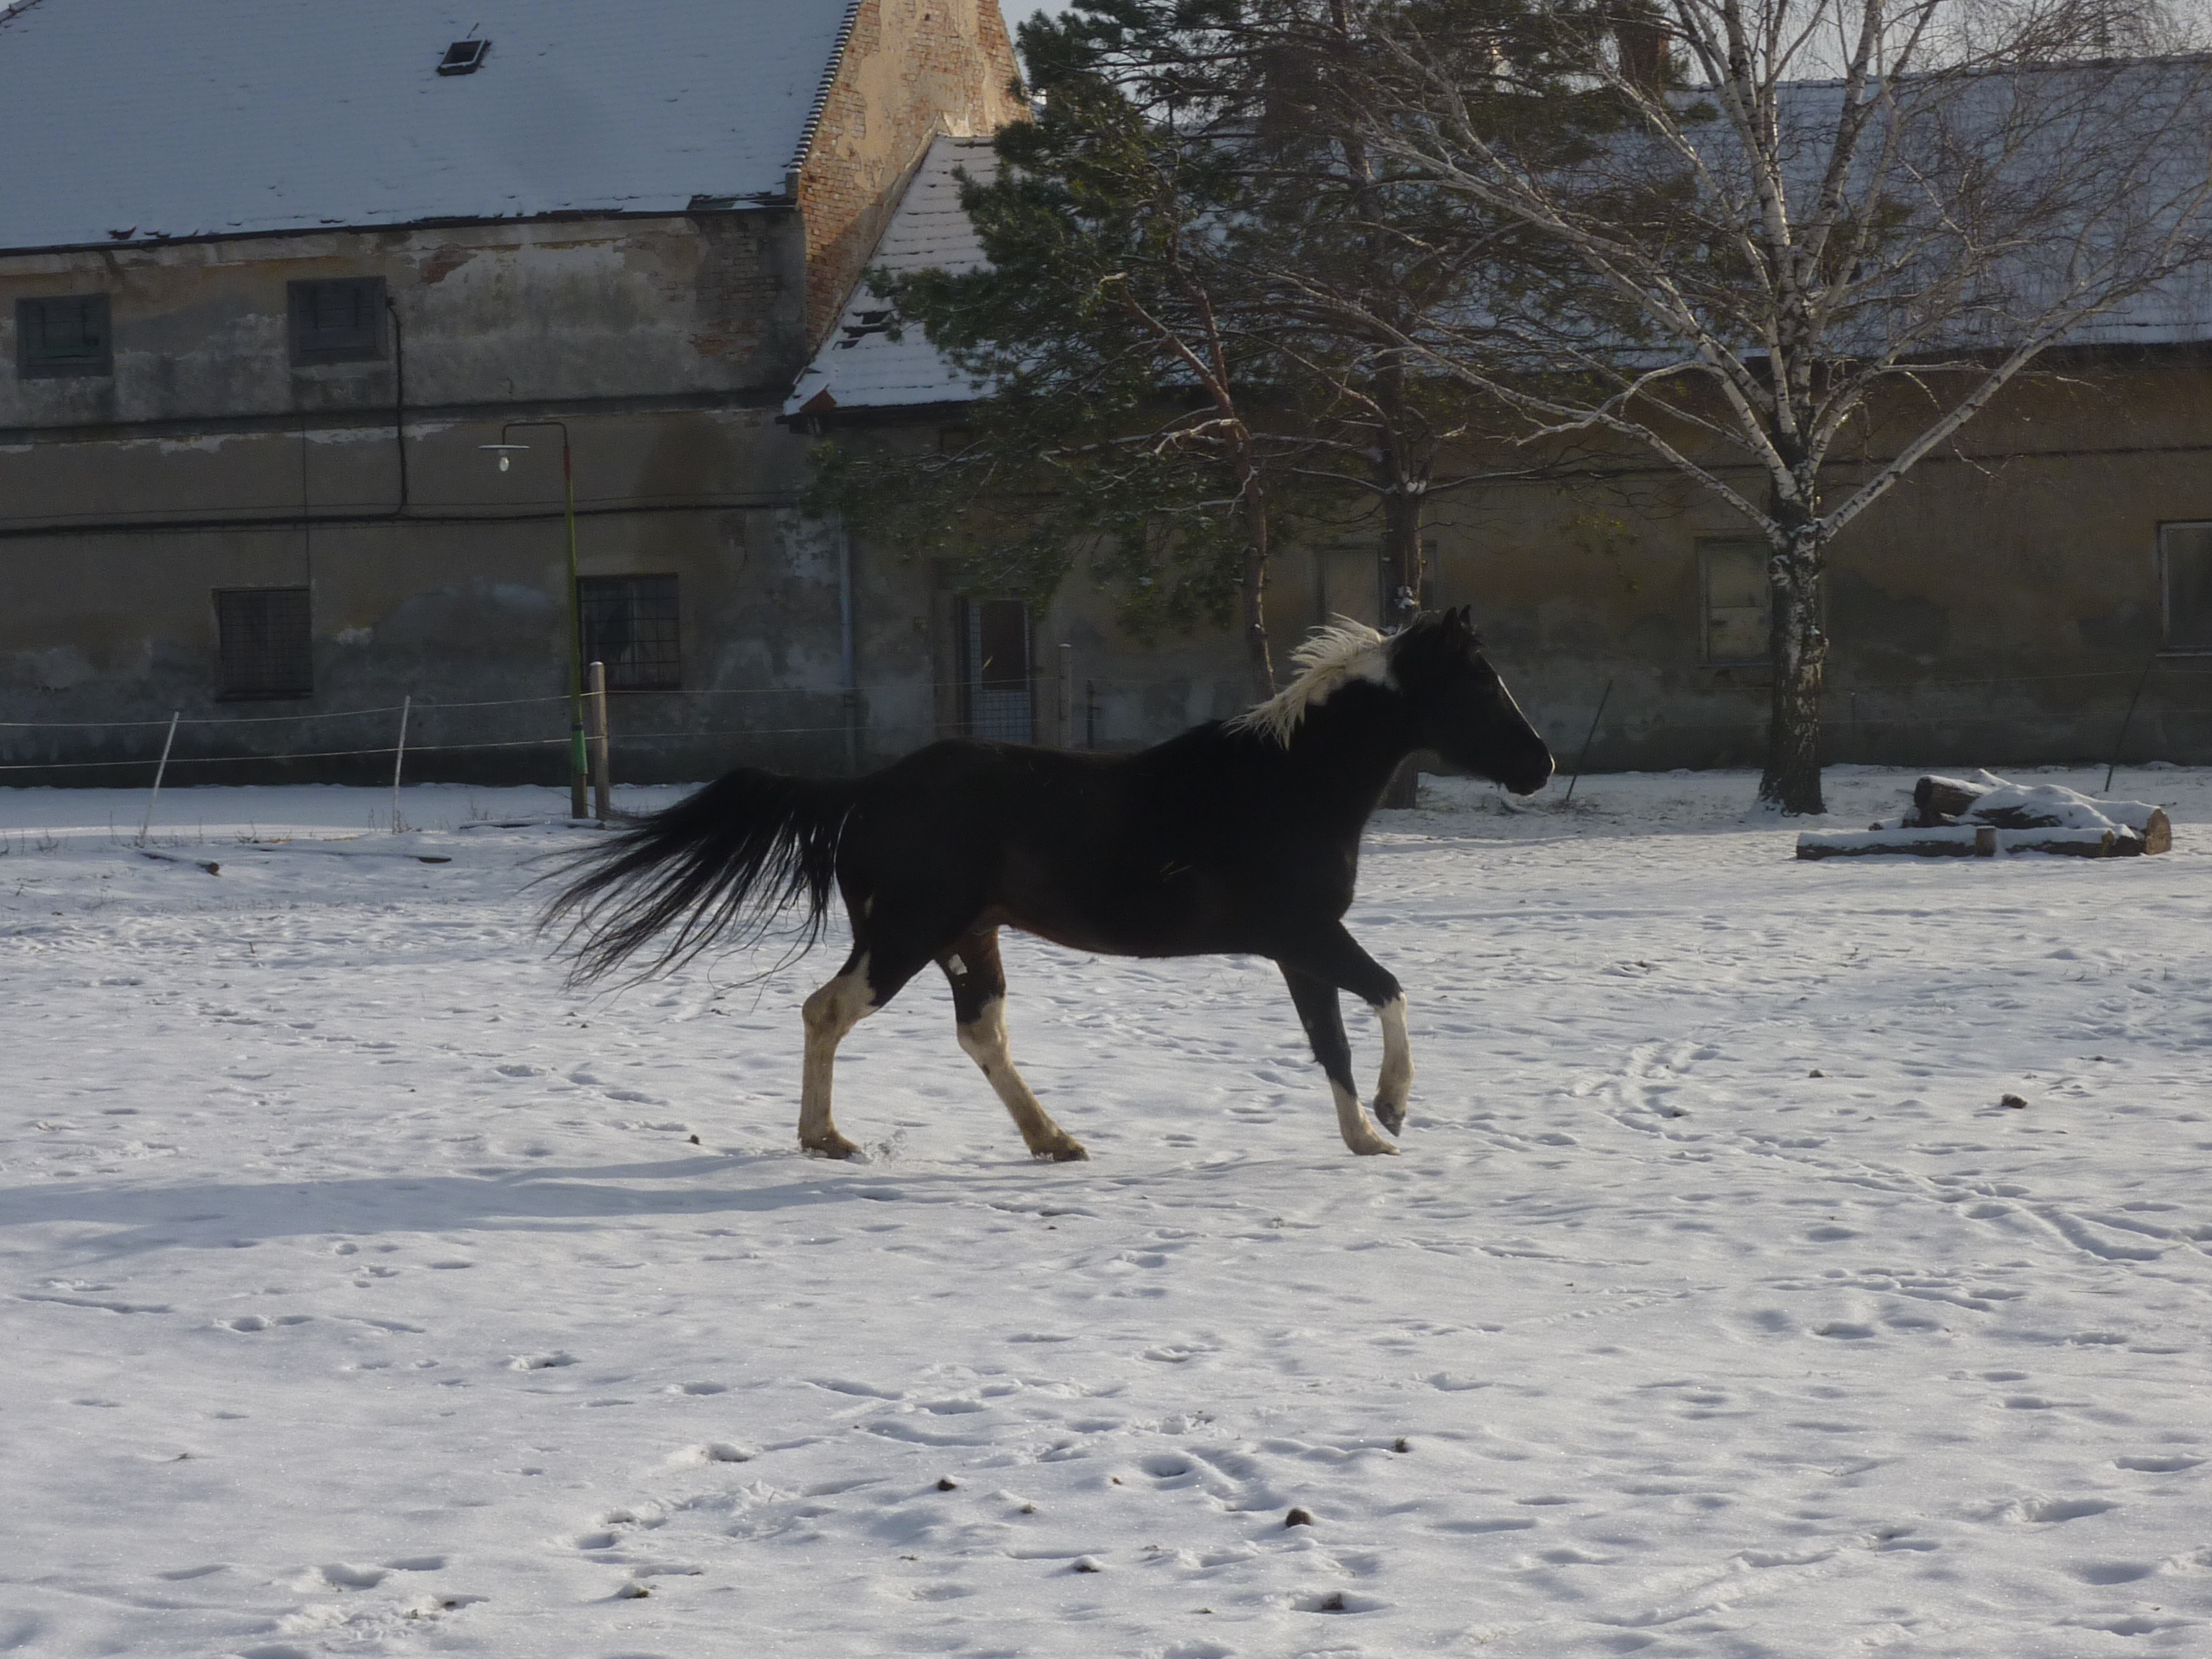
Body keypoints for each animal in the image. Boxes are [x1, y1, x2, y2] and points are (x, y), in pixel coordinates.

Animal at [546, 608, 1553, 1161]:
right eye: (1479, 680)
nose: (1541, 764)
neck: (1286, 784)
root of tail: (867, 790)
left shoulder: (1297, 951)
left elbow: (1331, 1043)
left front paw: (1364, 1135)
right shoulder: (1305, 935)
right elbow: (1388, 994)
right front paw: (1392, 1110)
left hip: (969, 938)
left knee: (980, 1033)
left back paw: (1053, 1141)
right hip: (905, 935)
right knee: (826, 1011)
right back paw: (828, 1139)